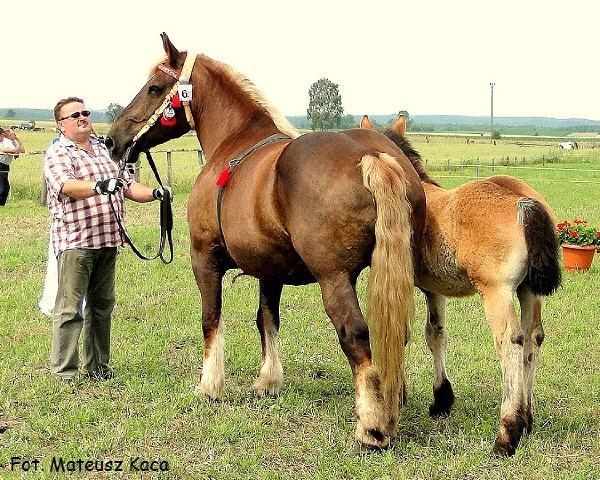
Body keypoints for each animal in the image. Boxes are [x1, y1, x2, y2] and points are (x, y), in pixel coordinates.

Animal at [360, 114, 564, 456]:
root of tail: (525, 202)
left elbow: (405, 334)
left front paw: (402, 395)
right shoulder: (434, 290)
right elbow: (436, 334)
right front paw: (441, 399)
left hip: (496, 292)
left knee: (511, 341)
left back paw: (508, 433)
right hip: (530, 291)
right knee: (534, 339)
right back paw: (528, 420)